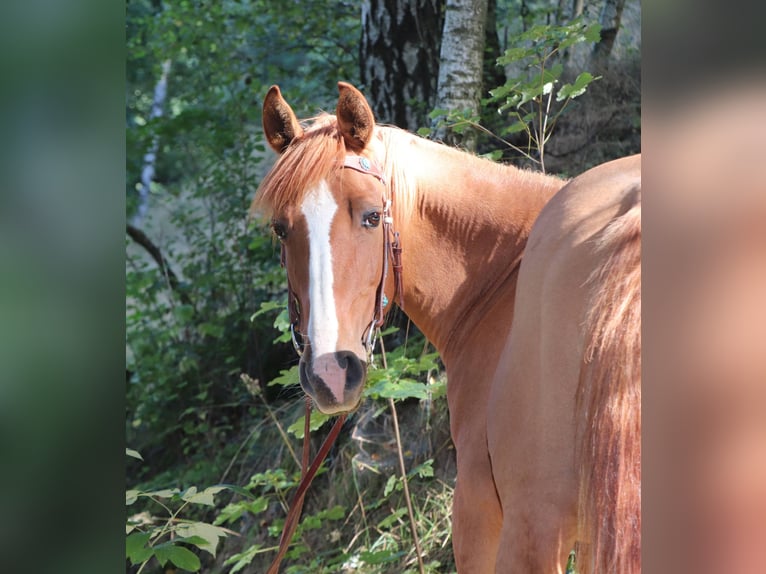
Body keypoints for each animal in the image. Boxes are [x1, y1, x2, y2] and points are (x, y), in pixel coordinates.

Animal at [252, 81, 640, 573]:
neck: (501, 280)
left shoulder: (477, 510)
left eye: (372, 216)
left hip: (532, 525)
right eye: (281, 230)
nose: (329, 373)